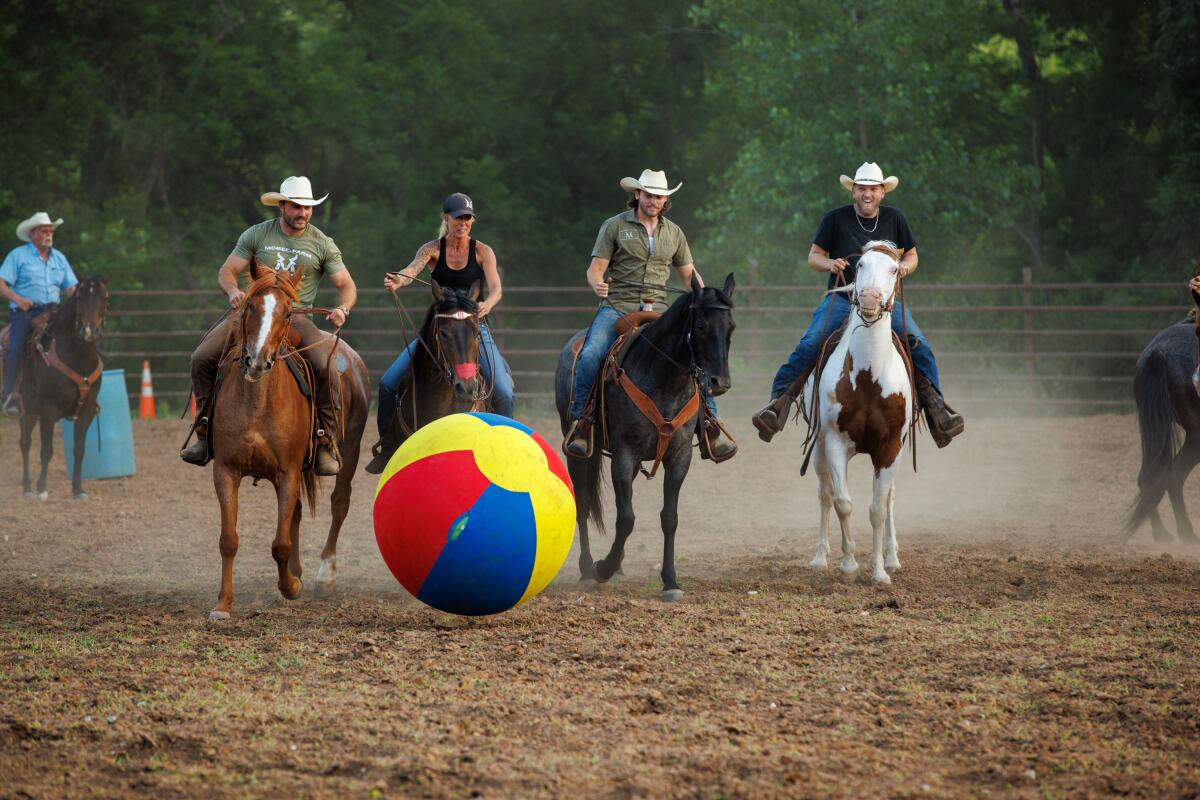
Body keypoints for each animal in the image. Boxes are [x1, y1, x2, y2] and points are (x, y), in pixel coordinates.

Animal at [2, 278, 109, 496]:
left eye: (104, 297)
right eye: (80, 298)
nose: (90, 331)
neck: (77, 356)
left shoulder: (87, 410)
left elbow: (79, 449)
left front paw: (78, 489)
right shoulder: (49, 410)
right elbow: (46, 451)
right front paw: (42, 488)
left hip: (29, 412)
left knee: (25, 443)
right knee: (25, 444)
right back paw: (27, 487)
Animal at [206, 266, 367, 623]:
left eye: (289, 313)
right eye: (249, 306)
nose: (258, 360)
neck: (257, 403)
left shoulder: (288, 472)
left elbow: (279, 543)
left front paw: (290, 587)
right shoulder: (226, 471)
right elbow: (228, 540)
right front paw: (223, 604)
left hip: (349, 453)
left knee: (339, 503)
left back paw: (324, 576)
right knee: (295, 513)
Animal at [554, 275, 739, 599]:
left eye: (731, 326)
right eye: (702, 325)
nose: (720, 382)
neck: (664, 379)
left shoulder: (679, 456)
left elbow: (669, 518)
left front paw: (670, 580)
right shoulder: (625, 454)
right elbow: (626, 519)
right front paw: (603, 568)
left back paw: (618, 567)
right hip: (576, 450)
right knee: (584, 504)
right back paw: (587, 568)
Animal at [801, 241, 912, 585]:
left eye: (894, 269)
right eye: (860, 264)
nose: (870, 300)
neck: (868, 377)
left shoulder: (891, 448)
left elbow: (877, 508)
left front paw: (878, 571)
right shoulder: (835, 443)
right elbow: (843, 503)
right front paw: (849, 565)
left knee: (890, 497)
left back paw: (893, 558)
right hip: (819, 449)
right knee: (824, 493)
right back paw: (819, 557)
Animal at [1123, 309, 1200, 544]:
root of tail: (1159, 352)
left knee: (1149, 476)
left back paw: (1161, 533)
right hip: (1195, 434)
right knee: (1173, 476)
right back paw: (1187, 534)